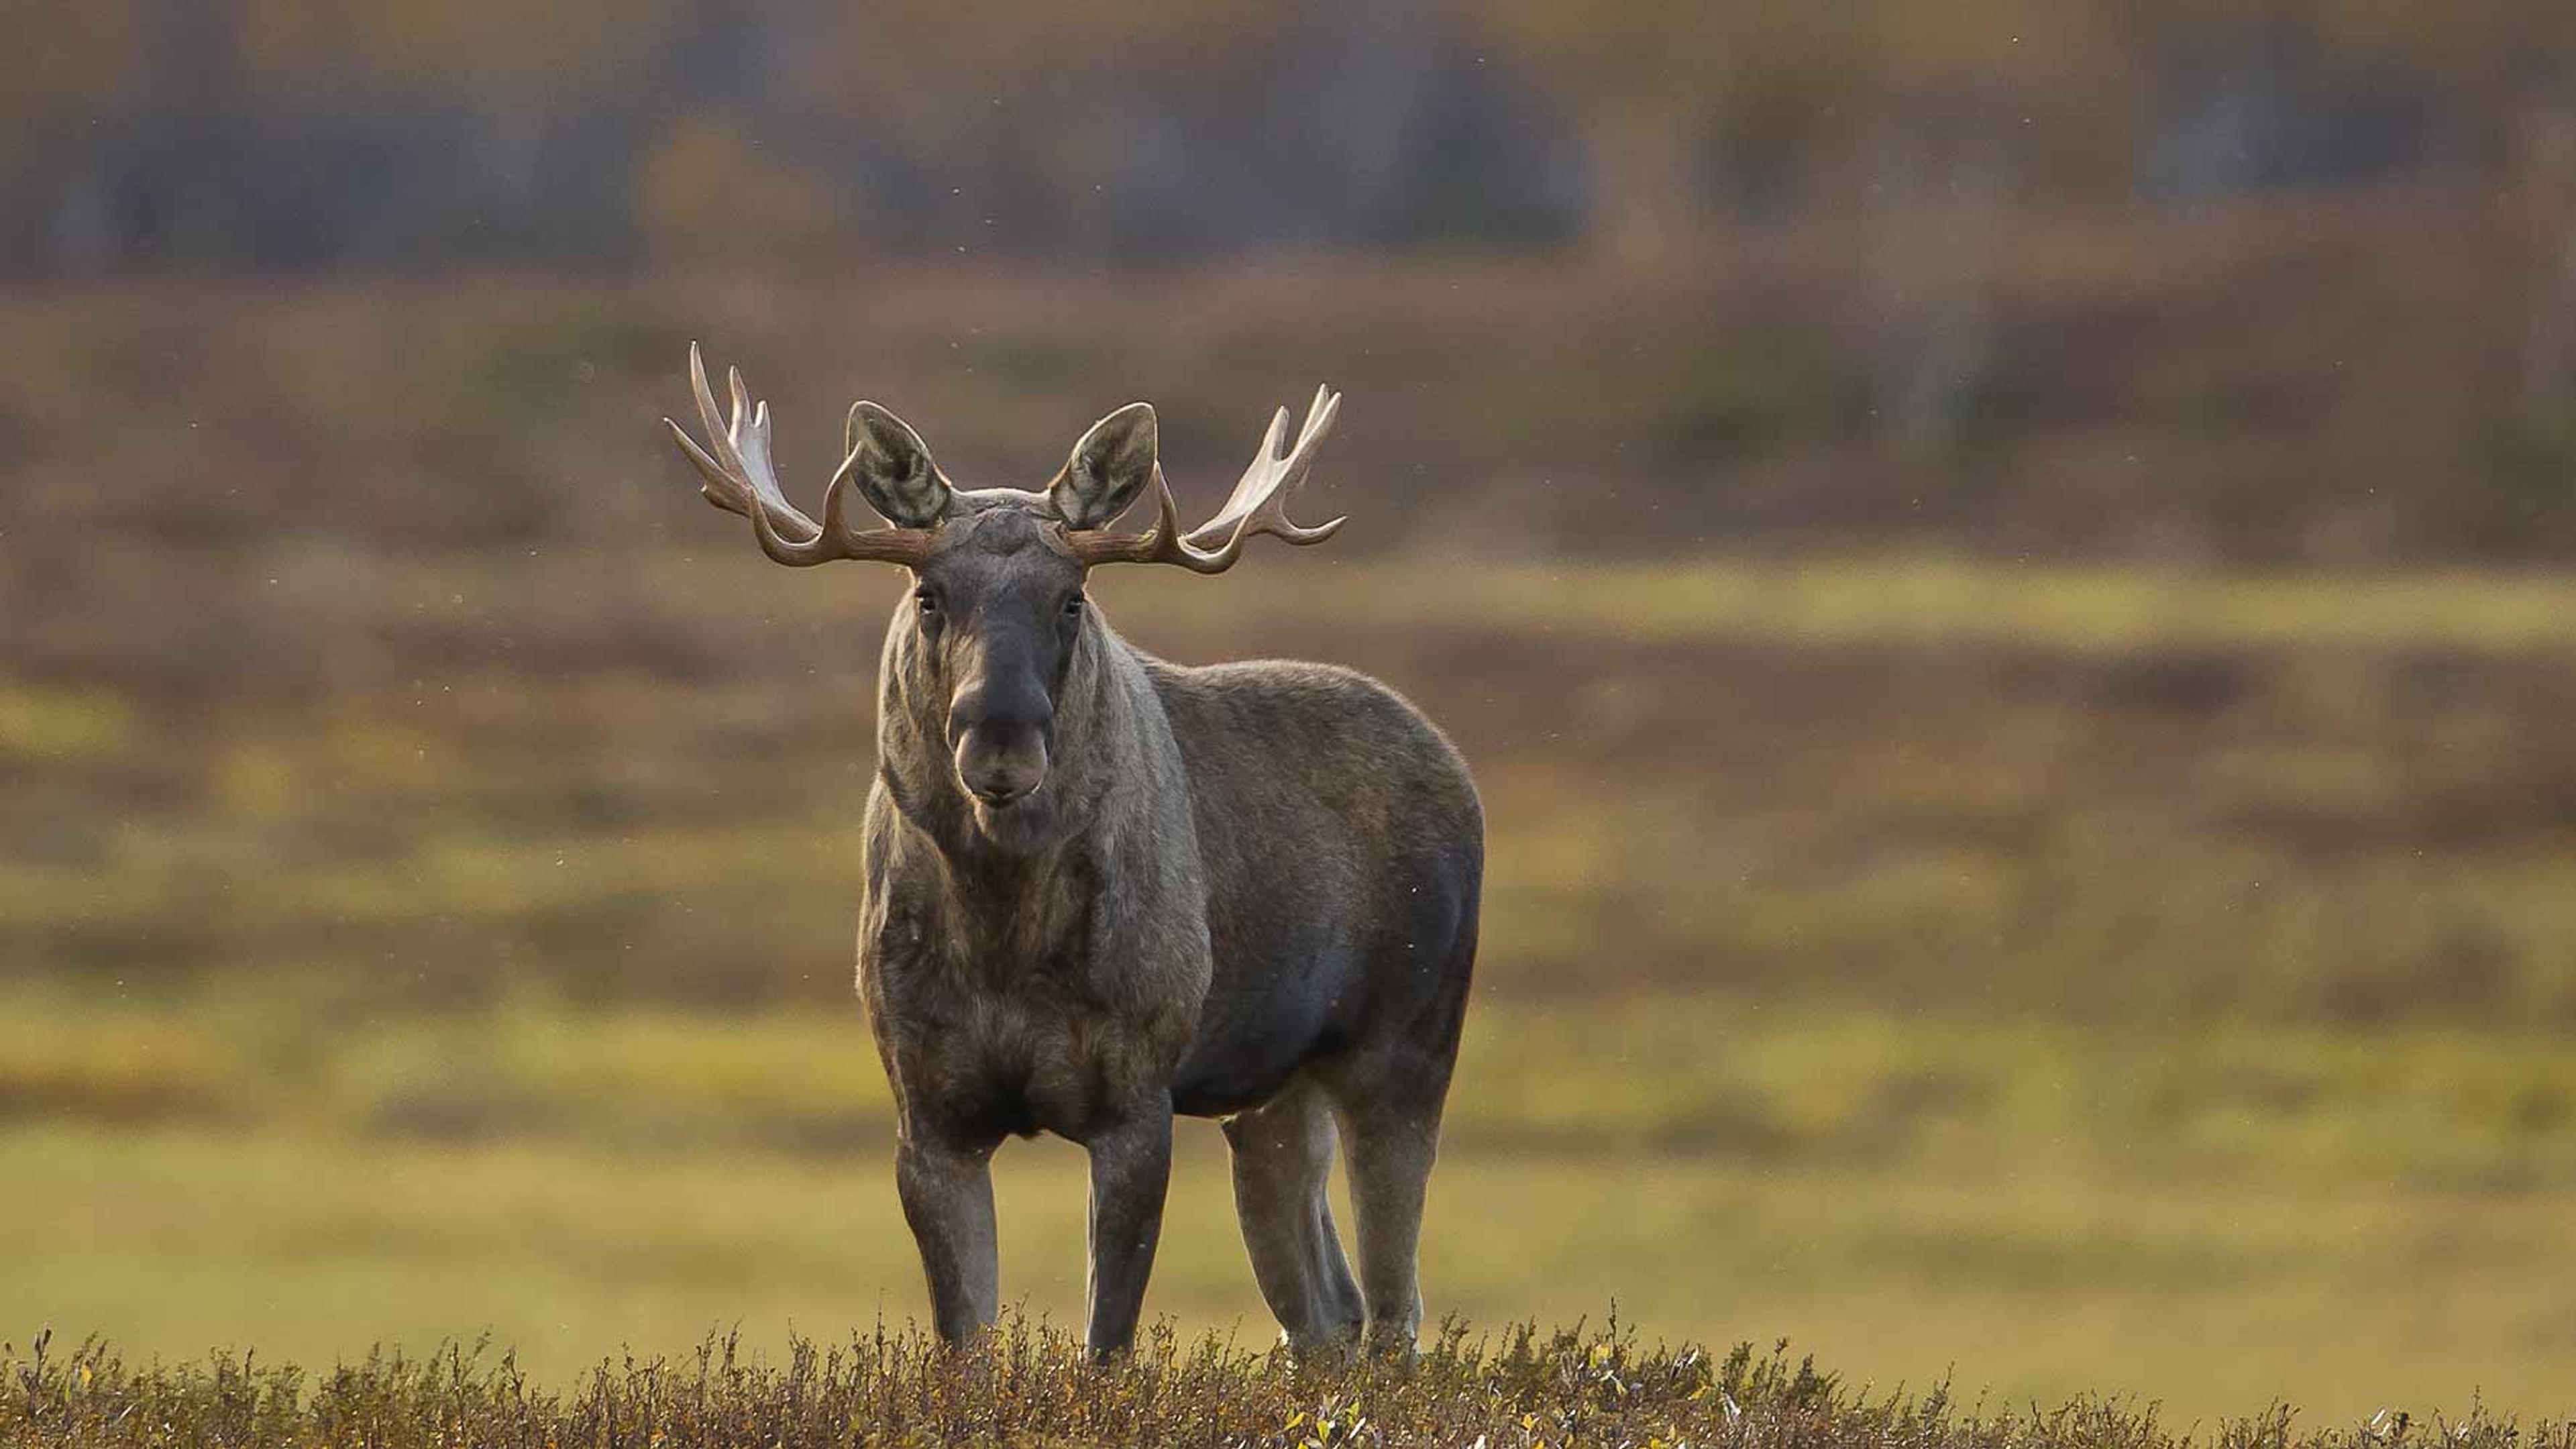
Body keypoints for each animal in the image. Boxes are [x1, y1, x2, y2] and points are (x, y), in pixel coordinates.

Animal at [664, 346, 1483, 1359]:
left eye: (1072, 599)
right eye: (928, 596)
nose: (1001, 741)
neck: (1000, 932)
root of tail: (1458, 770)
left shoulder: (1135, 1102)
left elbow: (1107, 1348)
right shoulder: (928, 1114)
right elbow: (965, 1349)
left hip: (1403, 1049)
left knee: (1395, 1317)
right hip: (1272, 1095)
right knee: (1329, 1313)